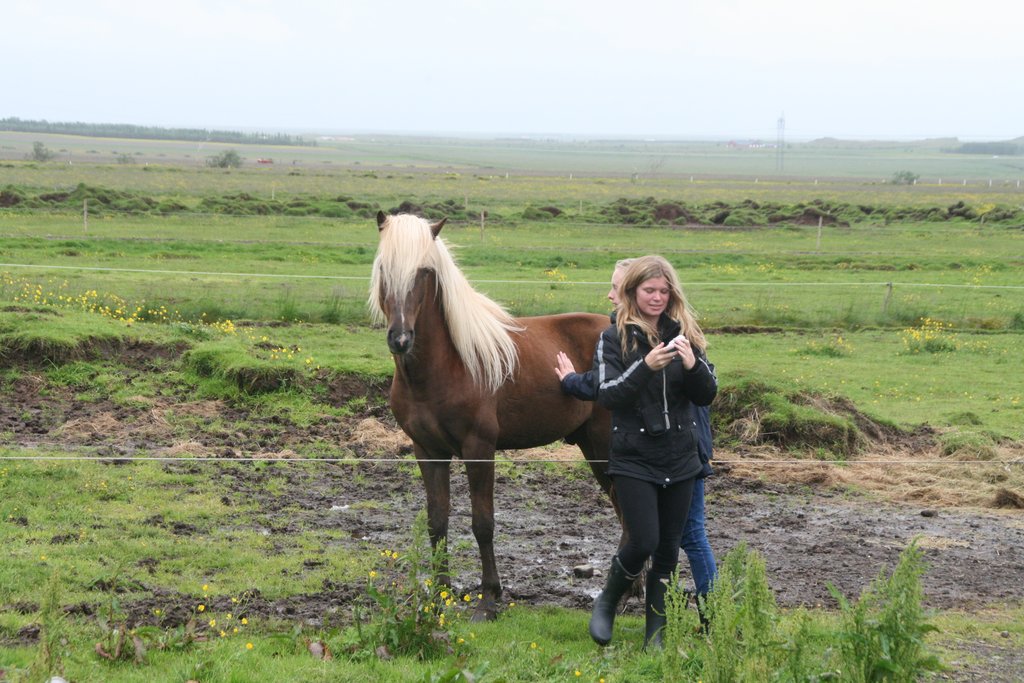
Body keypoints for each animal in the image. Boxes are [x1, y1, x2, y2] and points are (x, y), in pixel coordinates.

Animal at [369, 211, 615, 620]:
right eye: (384, 268)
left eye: (424, 271)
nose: (400, 338)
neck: (448, 365)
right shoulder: (428, 451)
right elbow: (437, 521)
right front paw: (438, 594)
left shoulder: (479, 449)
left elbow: (482, 523)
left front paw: (488, 599)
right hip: (593, 447)